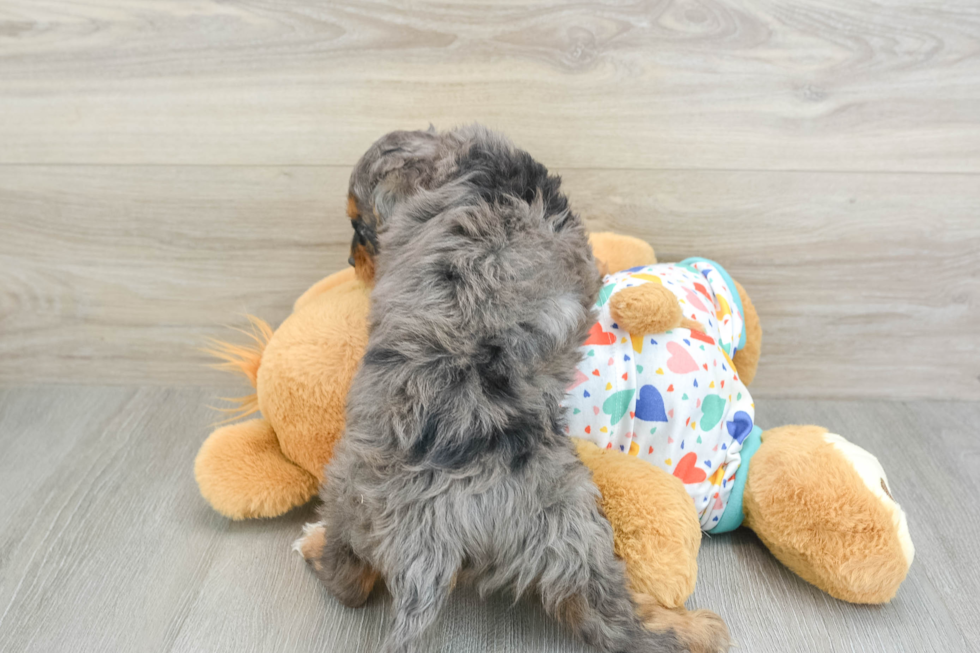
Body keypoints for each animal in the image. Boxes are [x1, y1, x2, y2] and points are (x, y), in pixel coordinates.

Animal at [294, 125, 732, 648]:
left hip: (358, 498)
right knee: (608, 615)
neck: (462, 165)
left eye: (360, 226)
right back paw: (692, 629)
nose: (350, 259)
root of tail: (433, 521)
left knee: (351, 582)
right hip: (569, 519)